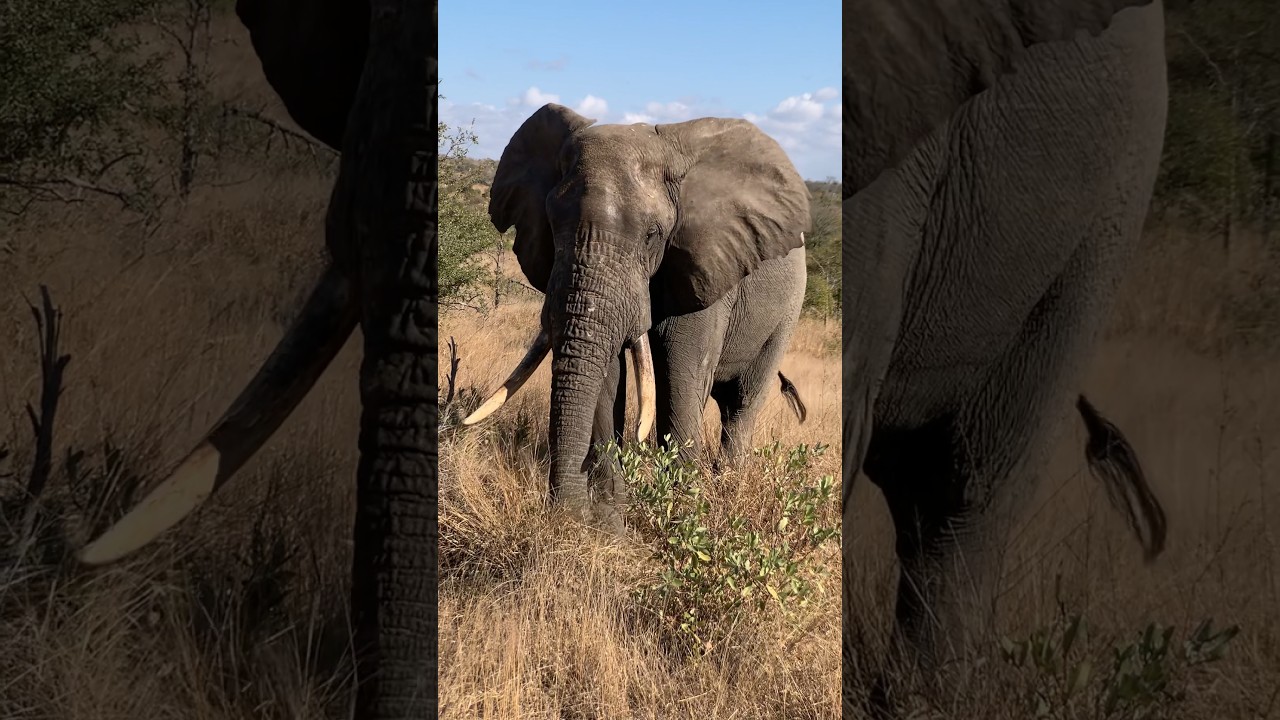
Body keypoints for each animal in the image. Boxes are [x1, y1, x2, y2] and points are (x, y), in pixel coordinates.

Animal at [460, 103, 812, 527]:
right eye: (553, 224)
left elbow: (680, 379)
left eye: (652, 235)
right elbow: (607, 377)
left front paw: (683, 516)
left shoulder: (706, 267)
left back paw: (728, 488)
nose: (564, 514)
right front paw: (611, 524)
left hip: (787, 313)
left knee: (742, 405)